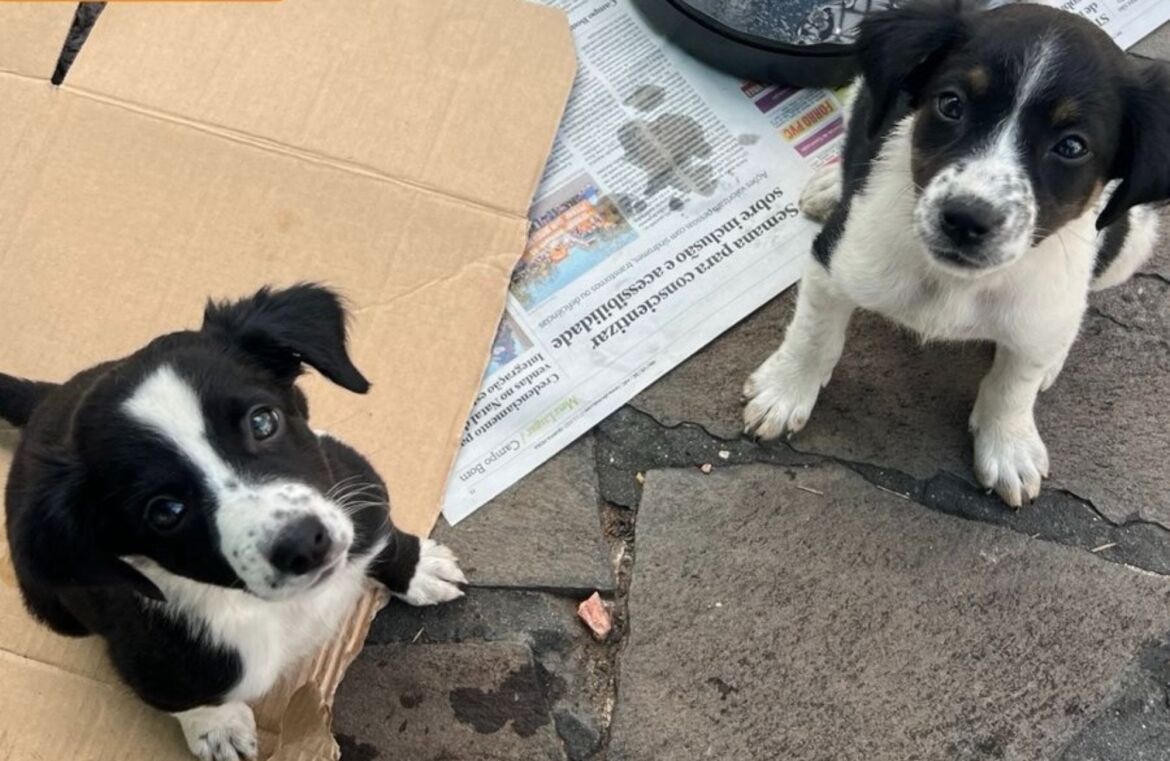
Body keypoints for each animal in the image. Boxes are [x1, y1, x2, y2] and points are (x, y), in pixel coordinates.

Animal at [0, 284, 466, 761]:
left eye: (263, 421)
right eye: (165, 511)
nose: (304, 545)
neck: (273, 607)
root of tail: (45, 402)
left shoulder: (359, 486)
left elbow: (386, 538)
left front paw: (419, 569)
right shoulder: (155, 661)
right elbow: (190, 699)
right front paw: (218, 728)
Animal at [743, 0, 1168, 507]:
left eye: (1072, 146)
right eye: (951, 105)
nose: (965, 219)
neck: (957, 283)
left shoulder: (1041, 307)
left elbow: (1015, 384)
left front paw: (1009, 446)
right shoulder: (835, 261)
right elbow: (814, 335)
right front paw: (784, 391)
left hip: (1130, 244)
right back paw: (830, 183)